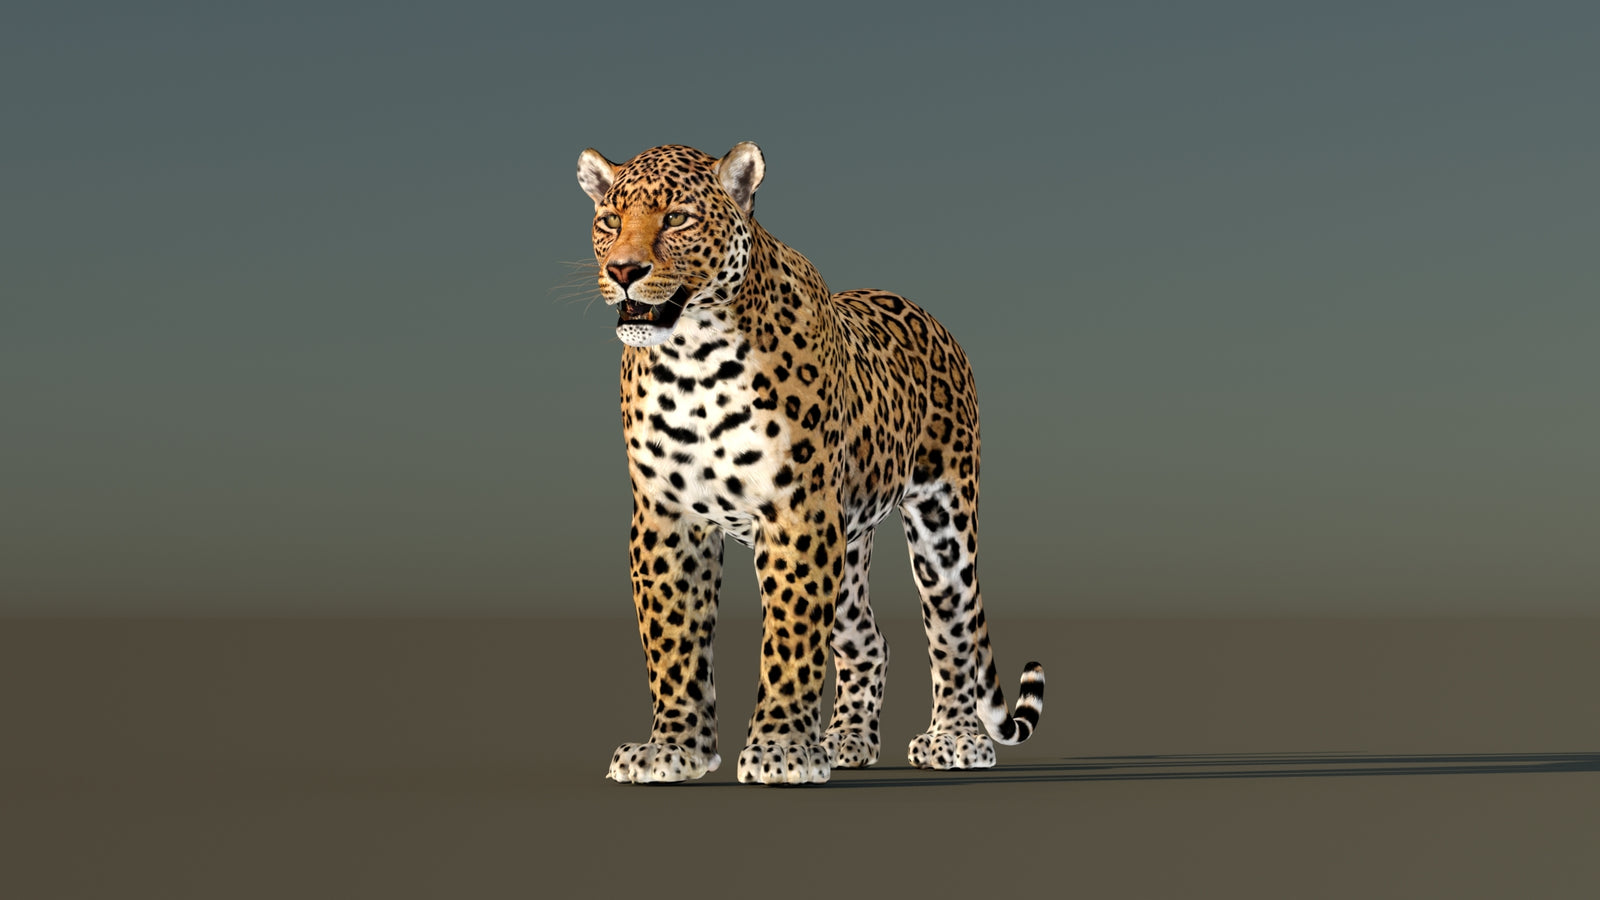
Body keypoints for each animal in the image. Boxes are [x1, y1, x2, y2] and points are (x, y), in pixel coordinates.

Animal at [577, 141, 1044, 785]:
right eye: (609, 221)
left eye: (677, 219)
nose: (624, 270)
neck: (692, 360)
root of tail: (929, 317)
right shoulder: (666, 518)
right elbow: (674, 641)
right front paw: (674, 748)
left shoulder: (797, 512)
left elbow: (792, 638)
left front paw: (779, 750)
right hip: (848, 544)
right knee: (870, 639)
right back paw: (847, 739)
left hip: (943, 521)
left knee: (953, 629)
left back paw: (954, 738)